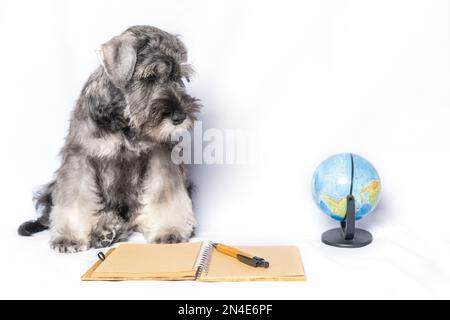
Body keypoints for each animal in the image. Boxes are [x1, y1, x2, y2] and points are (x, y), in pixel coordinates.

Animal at [17, 25, 200, 252]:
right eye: (150, 77)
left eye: (180, 78)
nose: (180, 116)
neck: (124, 120)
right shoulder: (80, 158)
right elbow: (75, 199)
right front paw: (69, 237)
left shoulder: (160, 156)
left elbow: (164, 194)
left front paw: (169, 230)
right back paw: (105, 230)